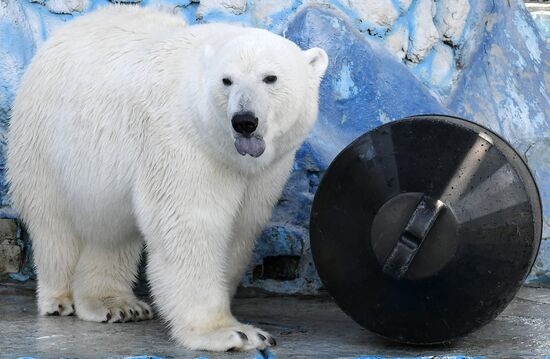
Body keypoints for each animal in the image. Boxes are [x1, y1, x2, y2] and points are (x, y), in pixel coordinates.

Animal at [5, 4, 328, 352]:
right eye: (226, 80)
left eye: (270, 77)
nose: (244, 121)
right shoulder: (183, 142)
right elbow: (190, 224)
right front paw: (232, 333)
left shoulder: (266, 170)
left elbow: (241, 228)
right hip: (46, 141)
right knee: (55, 224)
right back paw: (60, 299)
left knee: (110, 231)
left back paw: (114, 304)